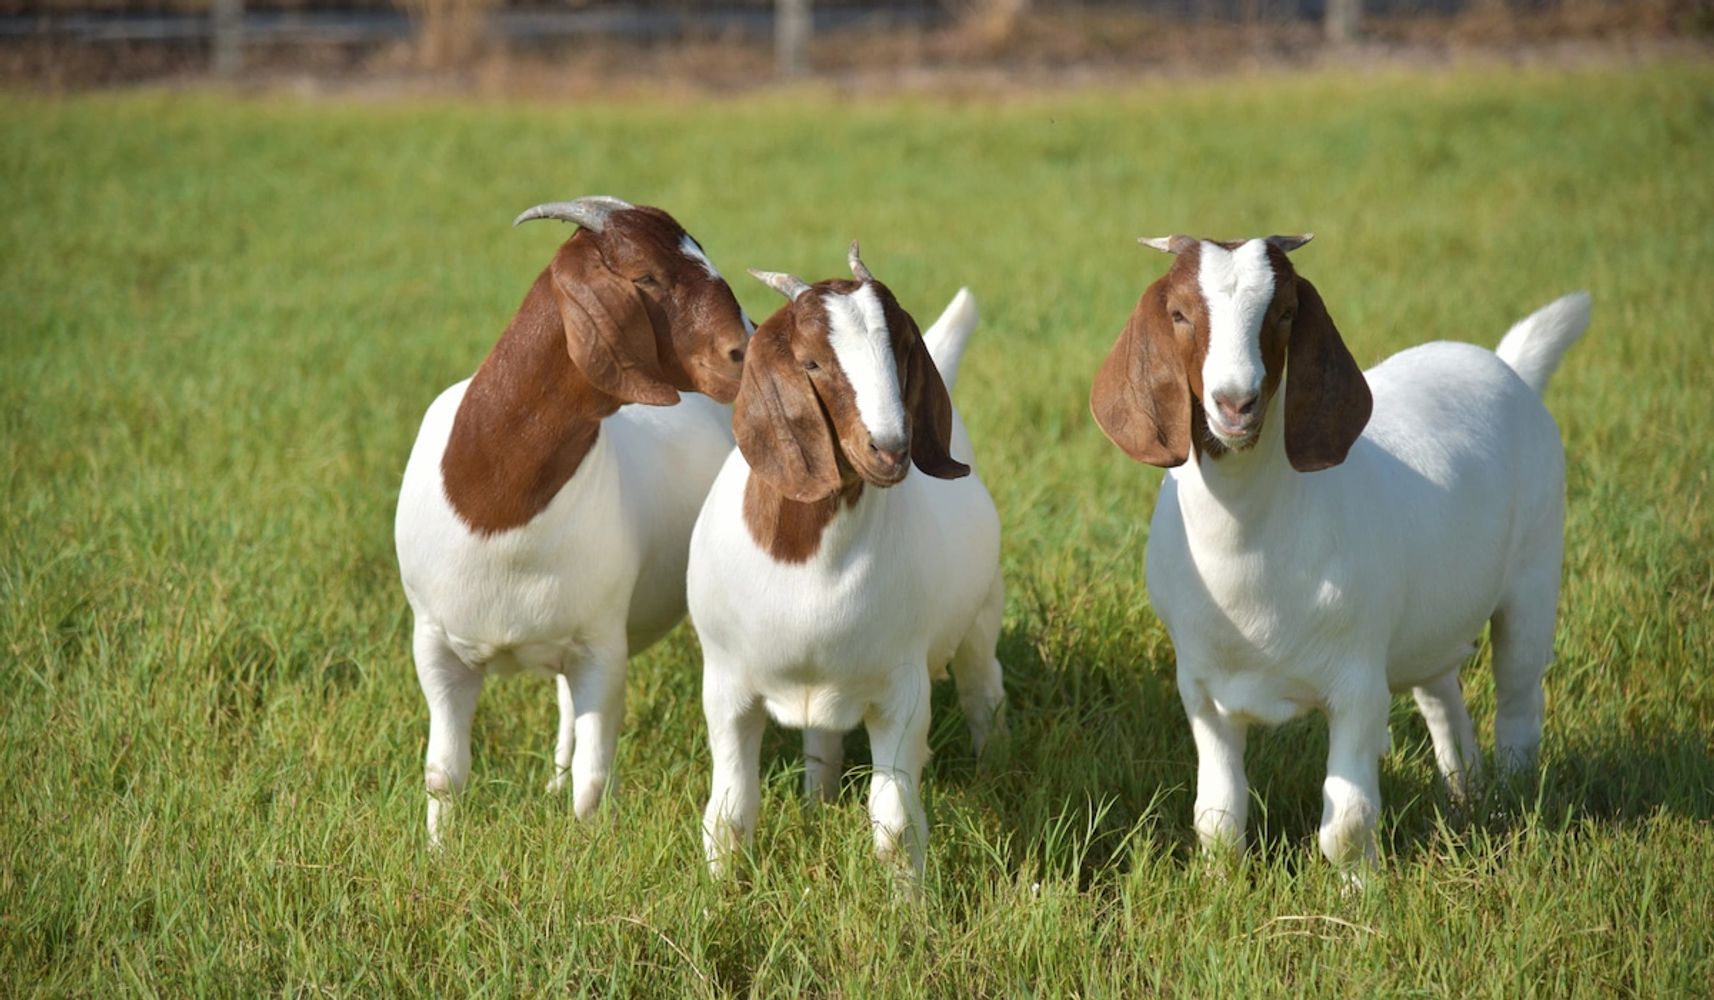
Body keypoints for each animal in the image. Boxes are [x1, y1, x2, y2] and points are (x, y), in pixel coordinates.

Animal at [395, 196, 751, 844]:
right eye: (645, 278)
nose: (749, 347)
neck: (495, 504)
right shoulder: (433, 642)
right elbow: (443, 774)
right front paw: (437, 850)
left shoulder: (601, 646)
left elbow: (594, 781)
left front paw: (586, 848)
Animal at [687, 243, 1005, 878]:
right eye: (810, 362)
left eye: (903, 350)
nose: (891, 448)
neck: (811, 563)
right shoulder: (726, 682)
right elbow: (729, 814)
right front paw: (718, 891)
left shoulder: (903, 688)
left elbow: (896, 825)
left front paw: (909, 902)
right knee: (821, 741)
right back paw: (819, 800)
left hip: (982, 616)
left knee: (982, 691)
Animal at [1090, 233, 1591, 869]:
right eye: (1178, 314)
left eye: (1284, 313)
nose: (1235, 404)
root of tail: (1509, 368)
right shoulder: (1200, 688)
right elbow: (1218, 818)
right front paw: (1220, 881)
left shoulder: (1357, 685)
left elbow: (1347, 821)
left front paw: (1362, 887)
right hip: (1430, 620)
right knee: (1440, 695)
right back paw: (1464, 793)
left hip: (1534, 573)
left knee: (1520, 697)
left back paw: (1510, 799)